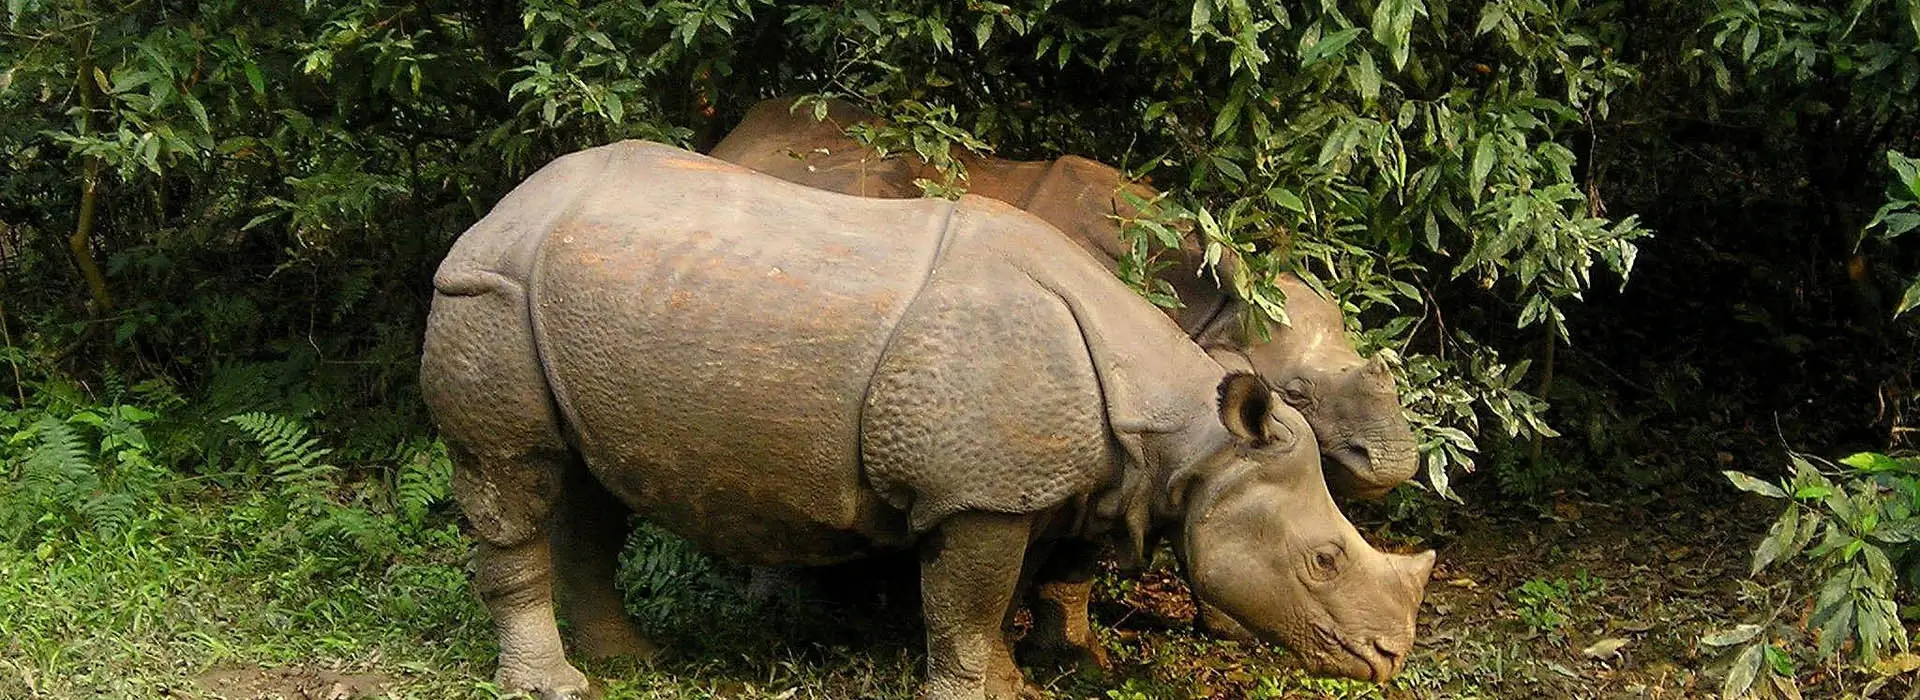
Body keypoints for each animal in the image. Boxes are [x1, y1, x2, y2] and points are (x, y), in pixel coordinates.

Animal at [420, 141, 1434, 699]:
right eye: (1324, 560)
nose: (1390, 659)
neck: (1183, 427)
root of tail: (502, 205)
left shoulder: (1062, 477)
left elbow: (1019, 586)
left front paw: (1030, 680)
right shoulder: (978, 492)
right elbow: (967, 601)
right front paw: (980, 692)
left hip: (585, 297)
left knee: (589, 486)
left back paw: (633, 661)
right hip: (490, 289)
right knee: (511, 472)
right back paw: (557, 685)